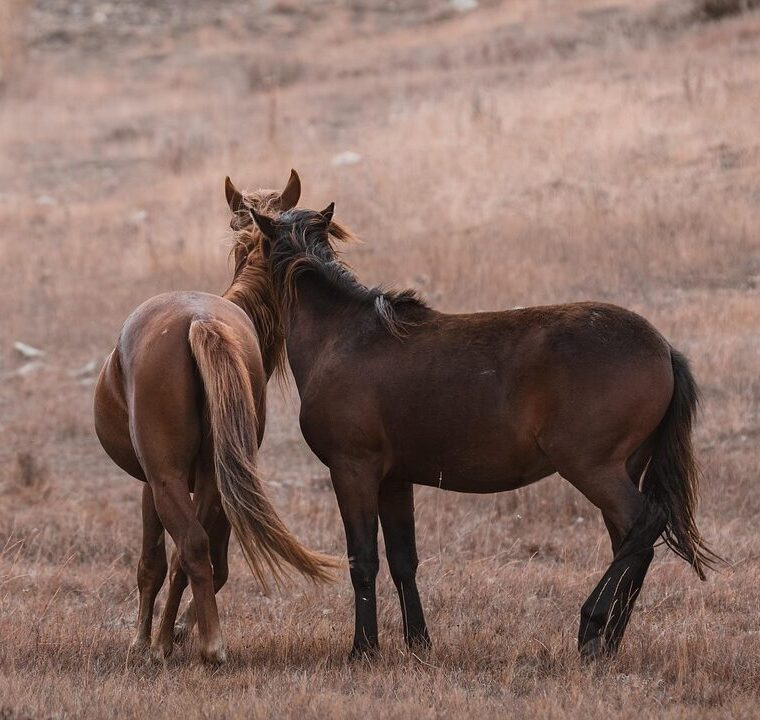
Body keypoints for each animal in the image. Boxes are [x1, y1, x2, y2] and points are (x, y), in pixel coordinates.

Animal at [94, 171, 337, 664]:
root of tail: (200, 322)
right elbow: (208, 564)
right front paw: (172, 633)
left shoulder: (150, 483)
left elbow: (152, 563)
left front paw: (148, 639)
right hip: (213, 475)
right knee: (199, 552)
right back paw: (194, 640)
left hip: (170, 478)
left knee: (188, 546)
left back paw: (204, 646)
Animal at [248, 202, 721, 661]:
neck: (343, 336)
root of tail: (664, 348)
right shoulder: (394, 480)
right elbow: (403, 561)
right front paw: (419, 643)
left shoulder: (353, 470)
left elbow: (362, 561)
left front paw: (363, 650)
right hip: (624, 469)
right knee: (633, 544)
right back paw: (608, 642)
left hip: (593, 469)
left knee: (644, 525)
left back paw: (592, 626)